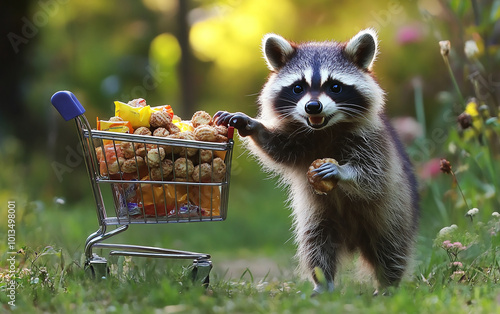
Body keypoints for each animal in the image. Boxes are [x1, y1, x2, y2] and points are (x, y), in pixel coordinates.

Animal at [214, 29, 418, 294]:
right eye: (298, 87)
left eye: (335, 87)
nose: (313, 106)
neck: (323, 129)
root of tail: (354, 240)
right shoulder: (300, 142)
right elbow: (277, 148)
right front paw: (252, 126)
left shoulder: (374, 141)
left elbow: (372, 176)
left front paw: (343, 171)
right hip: (318, 215)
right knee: (317, 244)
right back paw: (323, 281)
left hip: (394, 210)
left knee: (390, 246)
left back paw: (388, 283)